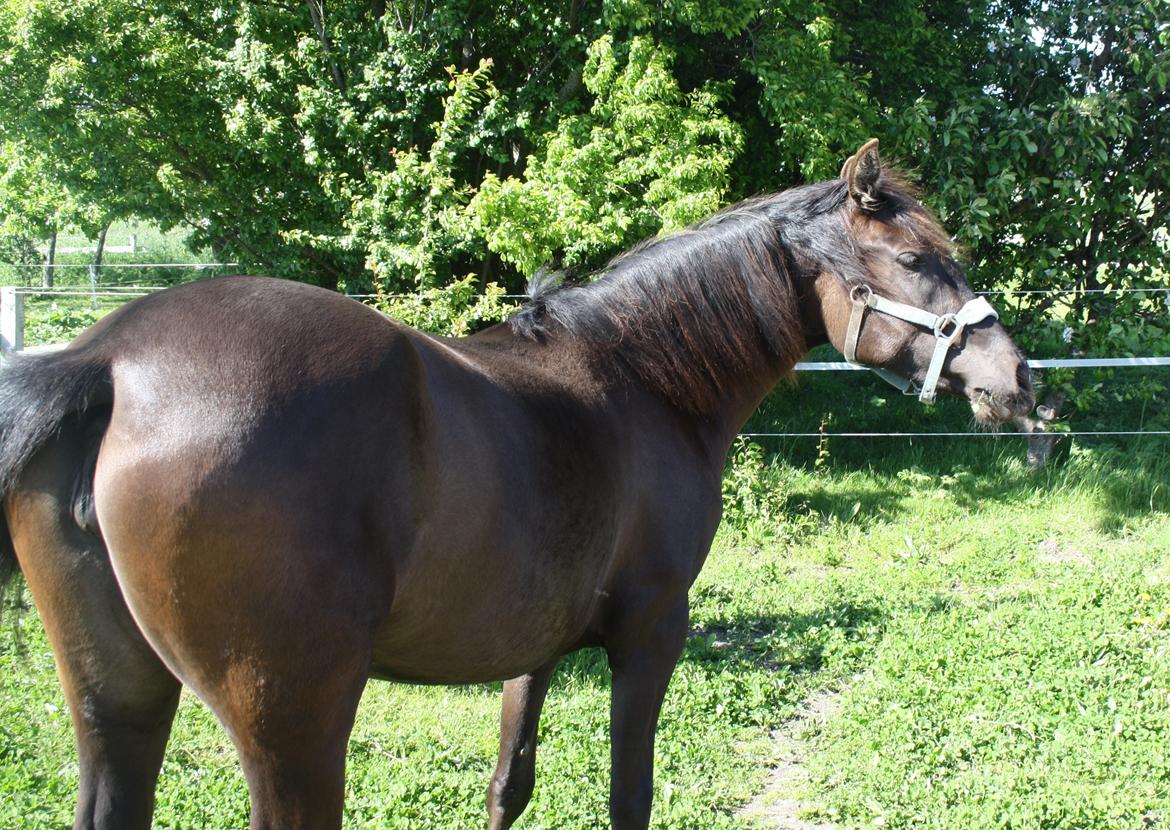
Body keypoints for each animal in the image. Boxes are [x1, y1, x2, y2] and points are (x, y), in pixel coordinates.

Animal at [0, 139, 1024, 824]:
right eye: (917, 261)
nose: (1018, 380)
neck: (644, 379)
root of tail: (110, 360)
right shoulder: (651, 633)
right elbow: (627, 794)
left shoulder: (535, 642)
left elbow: (509, 784)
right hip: (294, 725)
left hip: (119, 702)